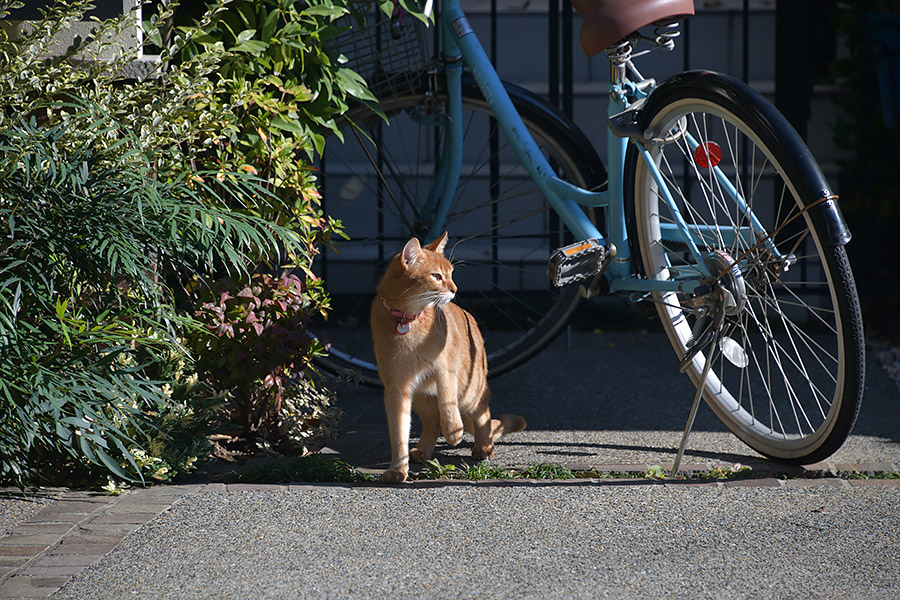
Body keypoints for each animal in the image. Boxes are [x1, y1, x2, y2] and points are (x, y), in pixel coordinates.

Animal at [370, 232, 528, 480]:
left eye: (451, 274)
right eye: (436, 276)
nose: (455, 289)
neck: (408, 321)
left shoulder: (446, 366)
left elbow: (447, 398)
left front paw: (454, 431)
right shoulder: (397, 387)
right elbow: (399, 431)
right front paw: (398, 469)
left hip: (469, 389)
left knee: (482, 413)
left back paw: (483, 446)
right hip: (422, 397)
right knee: (433, 422)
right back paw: (423, 450)